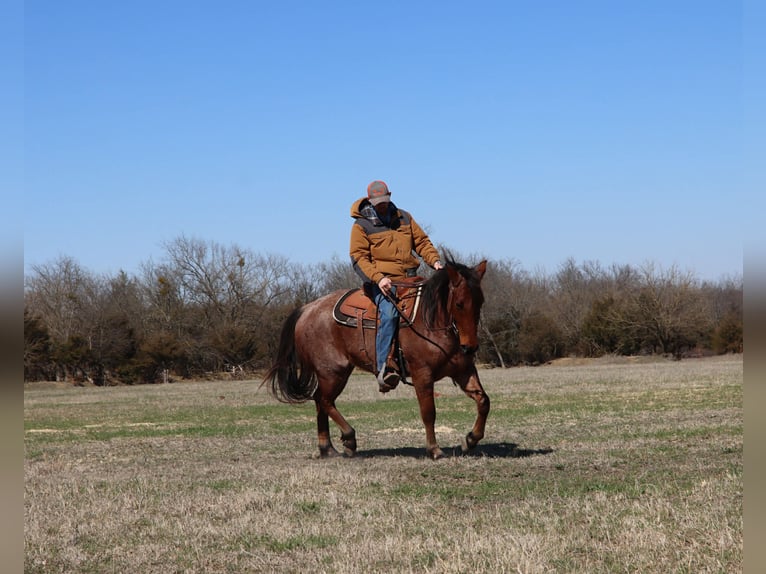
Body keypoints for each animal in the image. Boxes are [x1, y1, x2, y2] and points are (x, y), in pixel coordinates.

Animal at [262, 259, 489, 460]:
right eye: (459, 304)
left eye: (480, 302)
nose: (469, 347)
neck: (431, 321)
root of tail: (307, 309)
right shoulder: (422, 374)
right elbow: (428, 412)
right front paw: (434, 450)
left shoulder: (464, 371)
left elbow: (483, 401)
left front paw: (470, 439)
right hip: (333, 372)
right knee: (323, 400)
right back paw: (349, 439)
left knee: (321, 402)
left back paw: (328, 449)